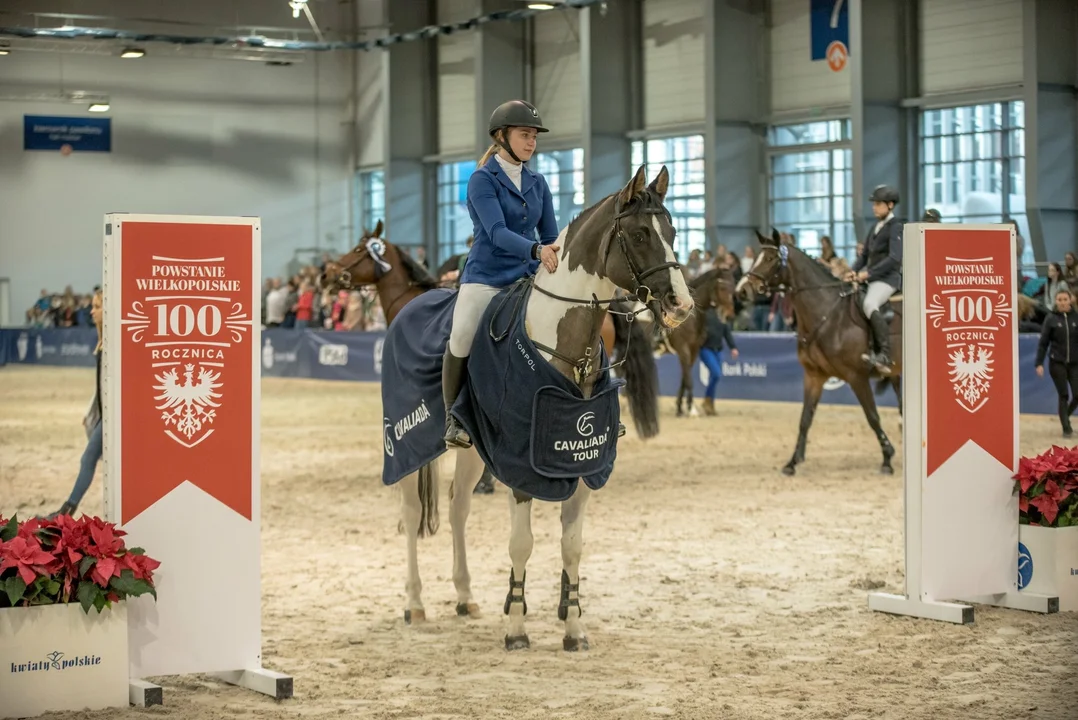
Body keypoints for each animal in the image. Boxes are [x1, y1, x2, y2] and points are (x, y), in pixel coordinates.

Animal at [741, 230, 901, 478]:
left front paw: (887, 458)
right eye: (757, 257)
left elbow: (873, 417)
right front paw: (792, 462)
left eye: (769, 259)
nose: (744, 290)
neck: (828, 314)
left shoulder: (857, 377)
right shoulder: (814, 376)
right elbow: (805, 418)